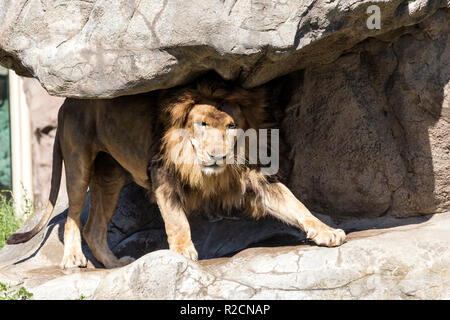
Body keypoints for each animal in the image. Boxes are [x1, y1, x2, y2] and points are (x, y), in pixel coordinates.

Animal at [6, 76, 344, 268]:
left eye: (231, 126)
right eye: (202, 124)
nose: (218, 155)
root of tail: (66, 102)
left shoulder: (256, 177)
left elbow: (296, 205)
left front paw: (327, 231)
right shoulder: (162, 176)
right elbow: (177, 220)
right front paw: (183, 252)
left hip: (110, 176)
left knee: (94, 228)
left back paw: (115, 264)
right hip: (79, 164)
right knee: (73, 218)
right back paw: (73, 259)